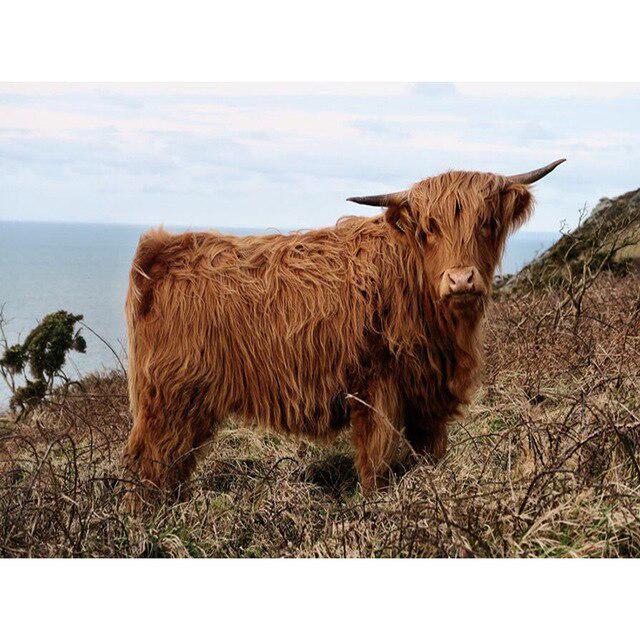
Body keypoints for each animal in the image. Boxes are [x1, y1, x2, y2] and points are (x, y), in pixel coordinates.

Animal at [122, 159, 565, 499]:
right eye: (428, 229)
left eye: (487, 222)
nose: (460, 280)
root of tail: (162, 250)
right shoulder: (375, 388)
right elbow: (376, 461)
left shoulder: (427, 396)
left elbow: (429, 453)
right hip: (172, 398)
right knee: (151, 464)